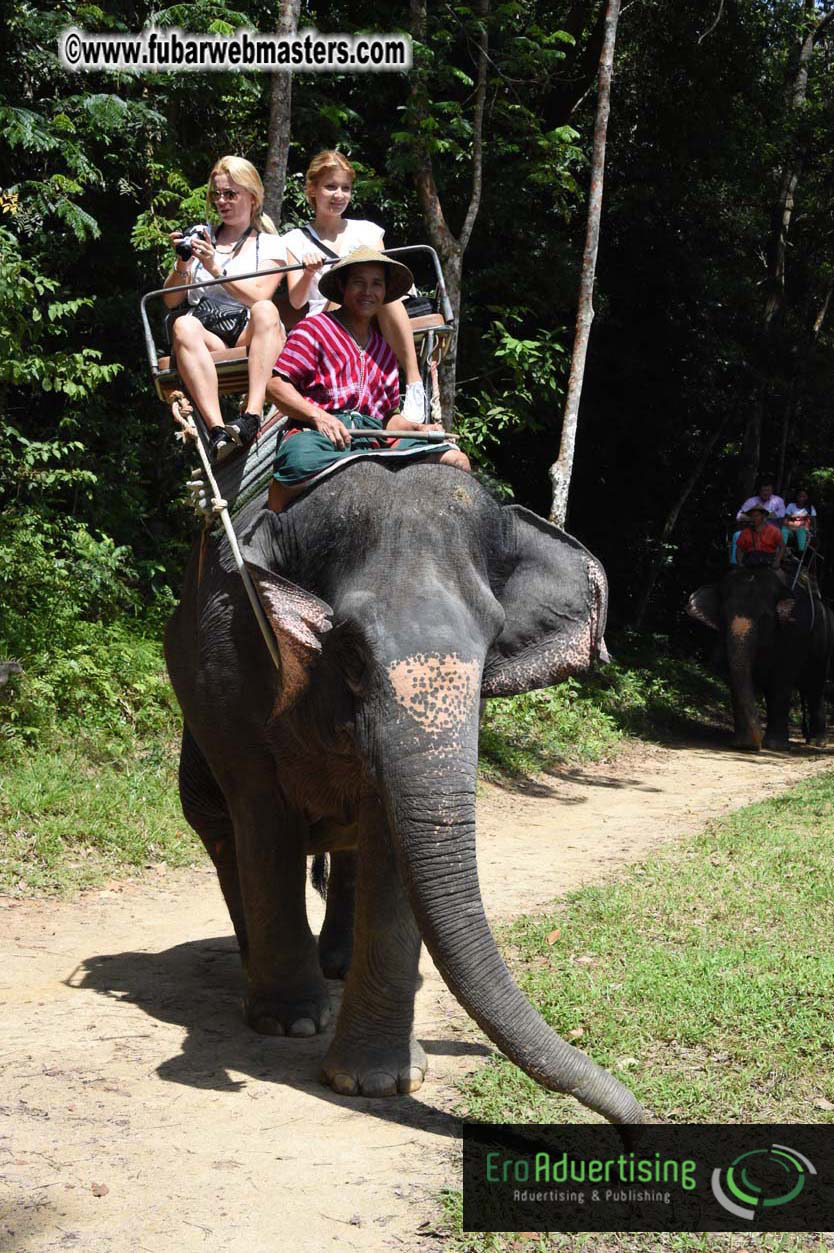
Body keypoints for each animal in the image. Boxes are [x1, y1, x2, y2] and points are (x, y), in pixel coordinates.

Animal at [164, 461, 643, 1124]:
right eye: (349, 648)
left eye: (495, 637)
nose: (635, 1117)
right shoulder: (229, 664)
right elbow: (264, 816)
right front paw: (291, 1025)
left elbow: (389, 835)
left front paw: (379, 1082)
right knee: (224, 837)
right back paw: (263, 976)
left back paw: (336, 965)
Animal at [687, 564, 834, 750]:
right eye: (723, 616)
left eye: (765, 618)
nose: (756, 745)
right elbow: (735, 678)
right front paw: (741, 743)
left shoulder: (794, 632)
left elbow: (781, 680)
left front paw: (774, 745)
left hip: (825, 640)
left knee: (815, 684)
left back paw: (817, 741)